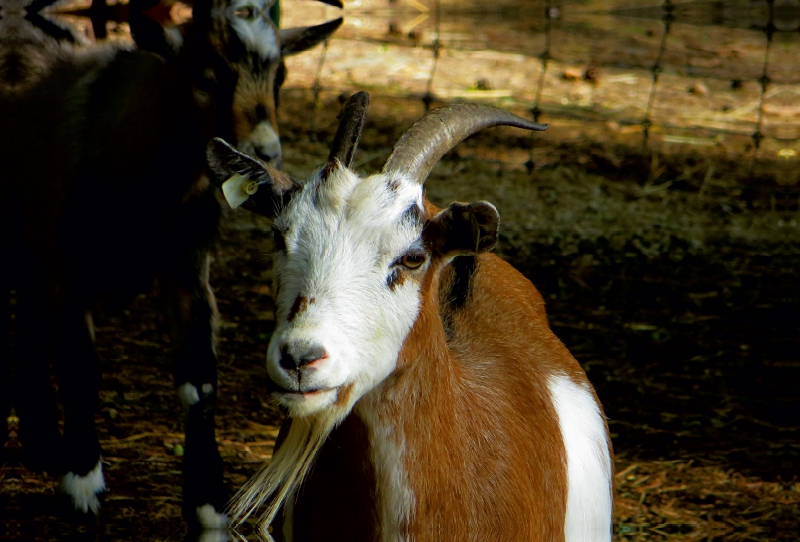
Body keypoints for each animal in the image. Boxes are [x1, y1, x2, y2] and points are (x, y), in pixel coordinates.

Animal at [0, 0, 340, 528]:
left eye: (280, 75)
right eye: (204, 76)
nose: (264, 152)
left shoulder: (187, 271)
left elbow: (199, 384)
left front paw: (209, 510)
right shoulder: (66, 270)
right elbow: (80, 367)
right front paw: (82, 483)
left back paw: (40, 443)